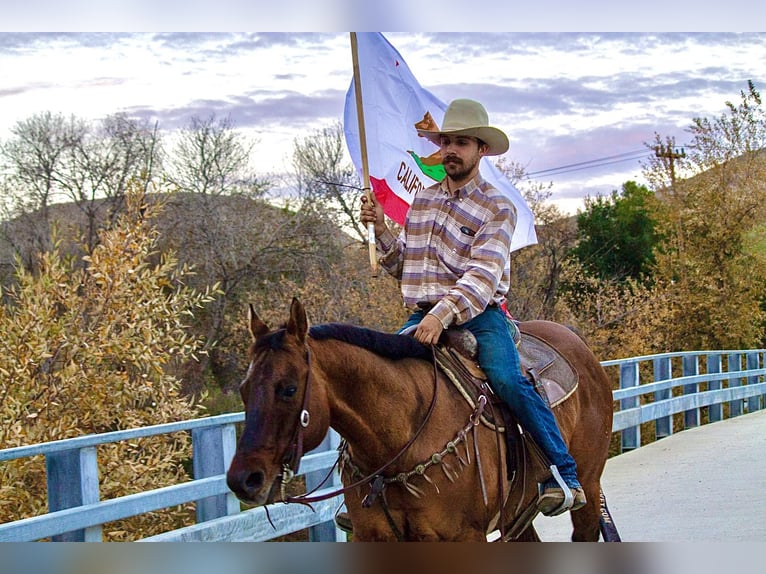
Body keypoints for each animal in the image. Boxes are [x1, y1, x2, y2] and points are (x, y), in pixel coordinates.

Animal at [225, 300, 616, 544]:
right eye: (244, 389)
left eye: (289, 389)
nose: (243, 480)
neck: (398, 444)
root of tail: (577, 343)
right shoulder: (374, 538)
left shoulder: (463, 537)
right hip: (517, 513)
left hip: (589, 485)